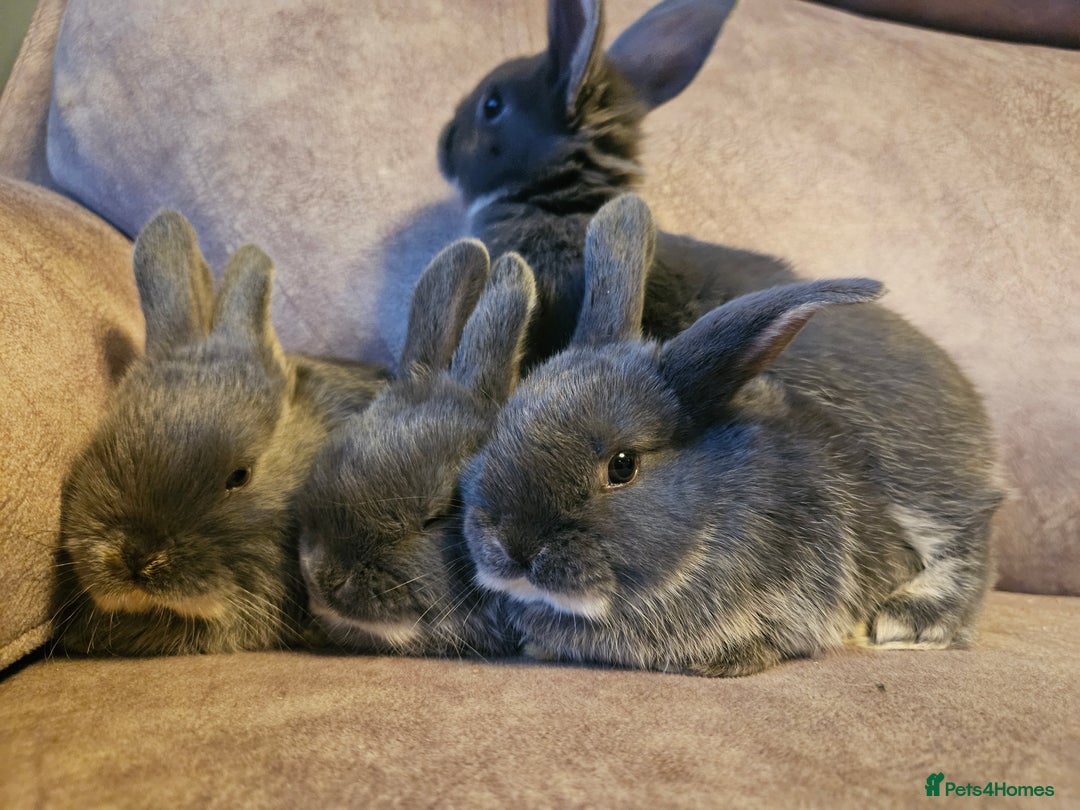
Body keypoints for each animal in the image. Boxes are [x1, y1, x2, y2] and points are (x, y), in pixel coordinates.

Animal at [461, 194, 1003, 677]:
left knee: (971, 536)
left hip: (918, 475)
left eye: (622, 465)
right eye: (501, 429)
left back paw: (911, 621)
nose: (515, 548)